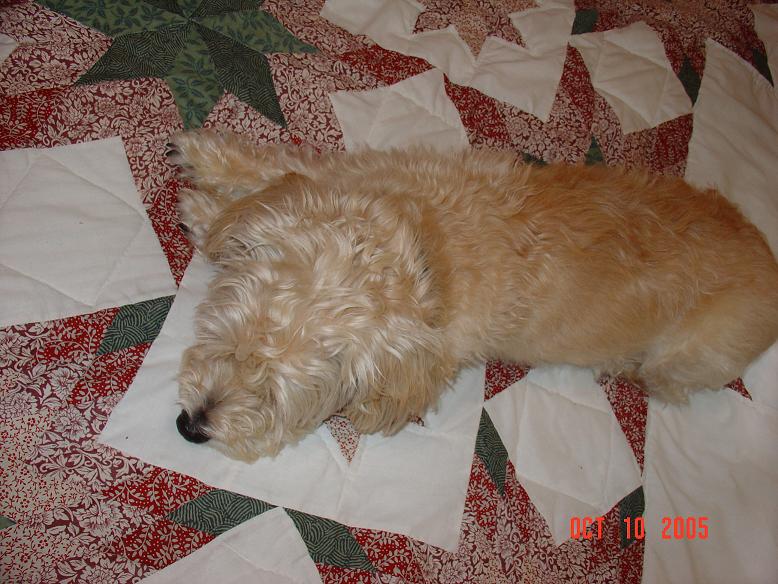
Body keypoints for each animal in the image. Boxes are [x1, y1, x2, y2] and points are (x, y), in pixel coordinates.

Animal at [169, 130, 778, 461]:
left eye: (274, 397)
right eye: (224, 343)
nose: (189, 426)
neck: (426, 250)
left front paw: (205, 206)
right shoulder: (347, 174)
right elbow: (280, 167)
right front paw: (207, 190)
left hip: (684, 359)